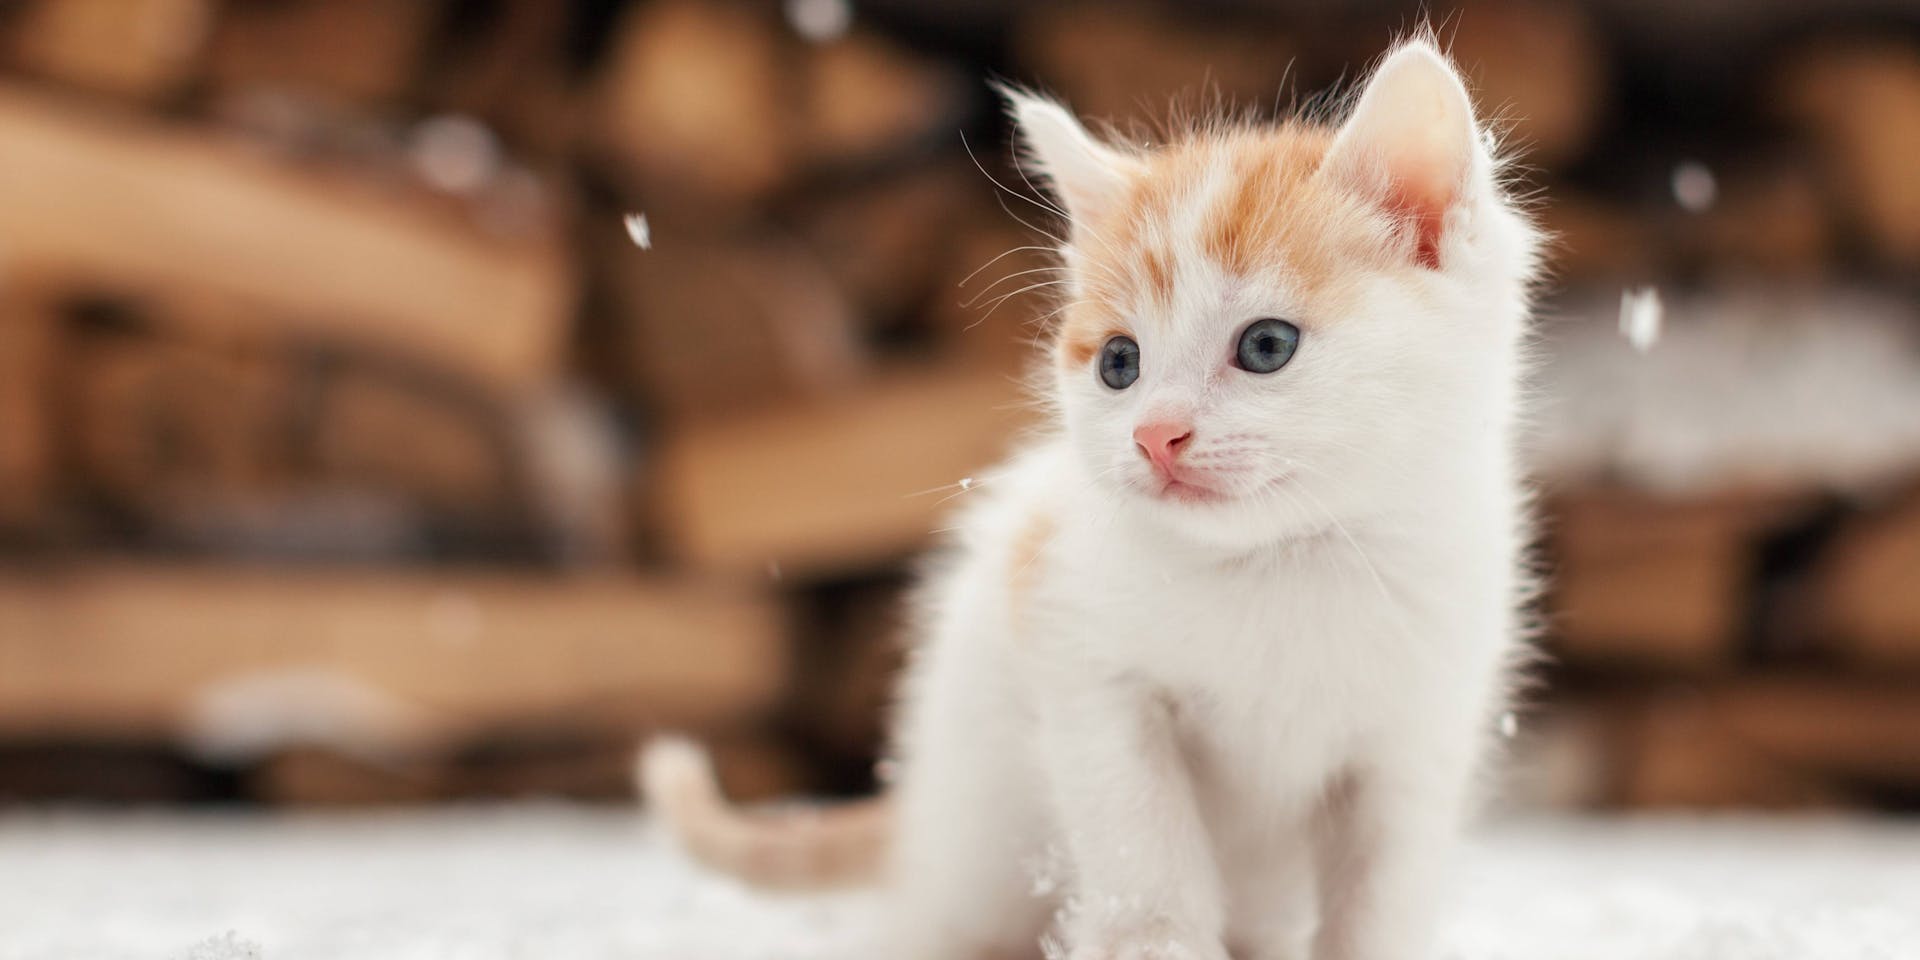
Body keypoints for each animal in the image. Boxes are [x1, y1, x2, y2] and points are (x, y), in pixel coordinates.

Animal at [645, 41, 1543, 960]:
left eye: (1266, 346)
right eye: (1119, 362)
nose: (1155, 436)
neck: (1278, 564)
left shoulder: (1420, 732)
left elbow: (1380, 895)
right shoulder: (1082, 659)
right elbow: (1143, 848)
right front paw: (1157, 941)